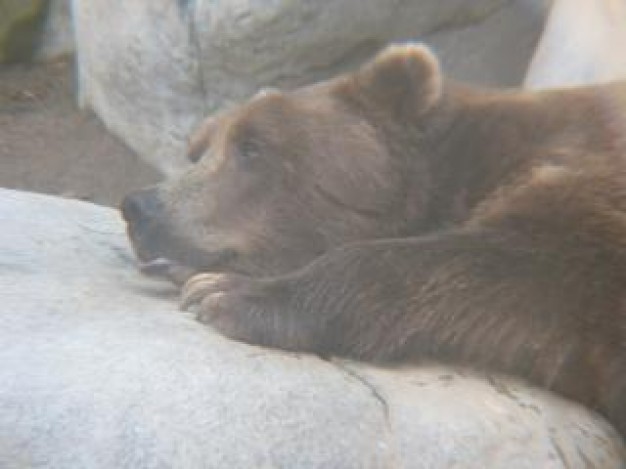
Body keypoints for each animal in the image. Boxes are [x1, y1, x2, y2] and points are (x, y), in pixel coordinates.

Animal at [120, 44, 624, 436]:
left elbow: (509, 265)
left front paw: (224, 293)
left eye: (252, 146)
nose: (140, 207)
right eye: (198, 149)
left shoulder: (586, 201)